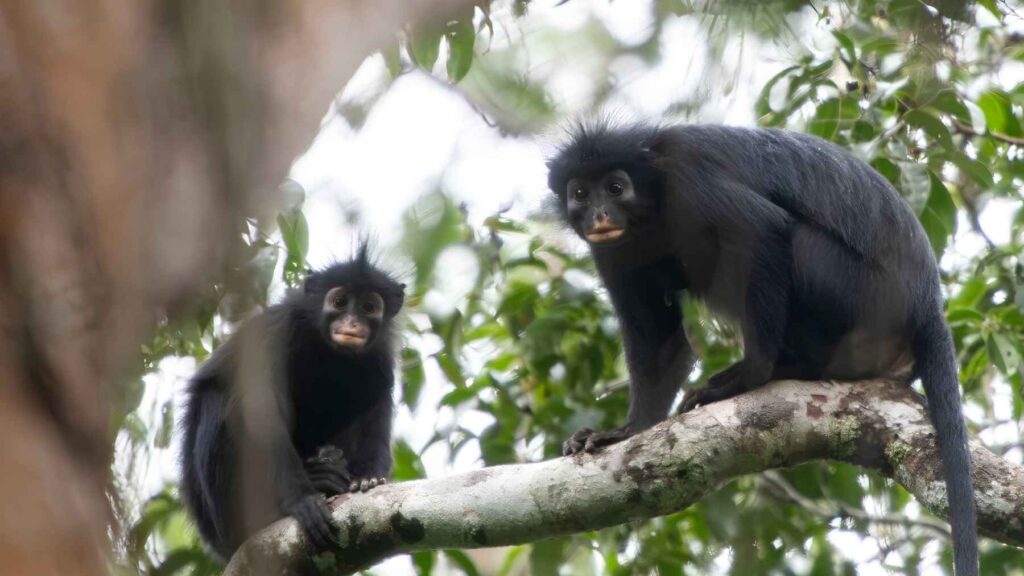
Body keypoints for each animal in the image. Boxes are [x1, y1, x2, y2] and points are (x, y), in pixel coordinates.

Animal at [180, 244, 405, 560]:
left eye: (369, 307)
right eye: (339, 302)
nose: (352, 323)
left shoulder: (381, 360)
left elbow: (376, 412)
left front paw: (368, 478)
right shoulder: (276, 331)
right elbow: (260, 410)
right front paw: (303, 500)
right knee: (218, 398)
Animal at [547, 122, 978, 575]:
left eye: (615, 187)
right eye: (581, 193)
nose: (600, 214)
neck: (652, 201)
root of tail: (927, 302)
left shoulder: (688, 177)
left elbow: (762, 229)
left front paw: (750, 374)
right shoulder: (613, 248)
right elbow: (658, 336)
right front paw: (627, 431)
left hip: (865, 294)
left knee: (795, 241)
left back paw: (790, 367)